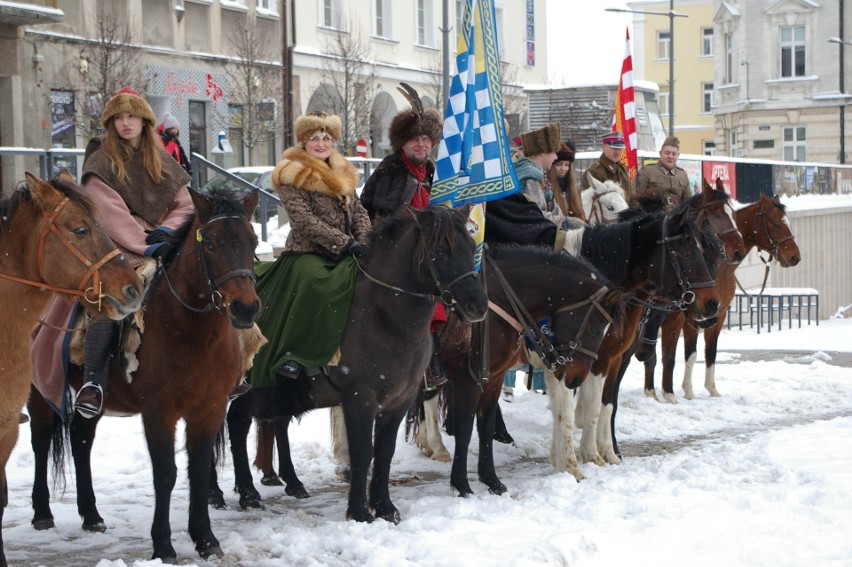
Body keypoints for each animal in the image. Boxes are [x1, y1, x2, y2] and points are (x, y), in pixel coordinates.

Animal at [27, 186, 260, 564]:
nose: (245, 308)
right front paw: (163, 545)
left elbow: (198, 470)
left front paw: (206, 539)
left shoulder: (209, 409)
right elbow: (166, 473)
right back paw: (42, 513)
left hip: (96, 397)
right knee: (41, 439)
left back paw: (91, 515)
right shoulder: (158, 412)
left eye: (252, 242)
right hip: (38, 391)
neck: (191, 331)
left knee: (80, 439)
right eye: (210, 244)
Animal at [213, 206, 490, 524]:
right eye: (440, 252)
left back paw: (273, 486)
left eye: (470, 247)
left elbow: (384, 452)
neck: (386, 316)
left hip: (275, 392)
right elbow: (362, 452)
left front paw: (385, 507)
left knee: (253, 420)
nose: (478, 305)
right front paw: (360, 512)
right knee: (232, 420)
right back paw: (230, 494)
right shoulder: (360, 397)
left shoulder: (399, 400)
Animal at [636, 195, 804, 404]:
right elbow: (688, 354)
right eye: (775, 224)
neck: (718, 269)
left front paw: (712, 389)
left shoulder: (719, 315)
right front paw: (687, 391)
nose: (795, 257)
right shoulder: (689, 319)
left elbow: (711, 352)